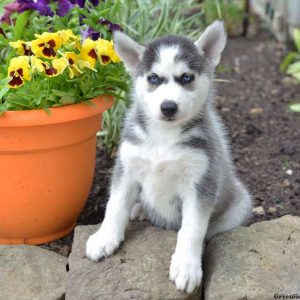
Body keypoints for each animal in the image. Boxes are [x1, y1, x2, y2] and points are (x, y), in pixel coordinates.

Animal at [85, 21, 252, 292]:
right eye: (153, 78)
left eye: (187, 78)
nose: (169, 107)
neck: (163, 137)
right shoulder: (126, 168)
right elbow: (115, 206)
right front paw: (104, 238)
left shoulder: (200, 182)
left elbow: (192, 229)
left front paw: (186, 266)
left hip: (241, 204)